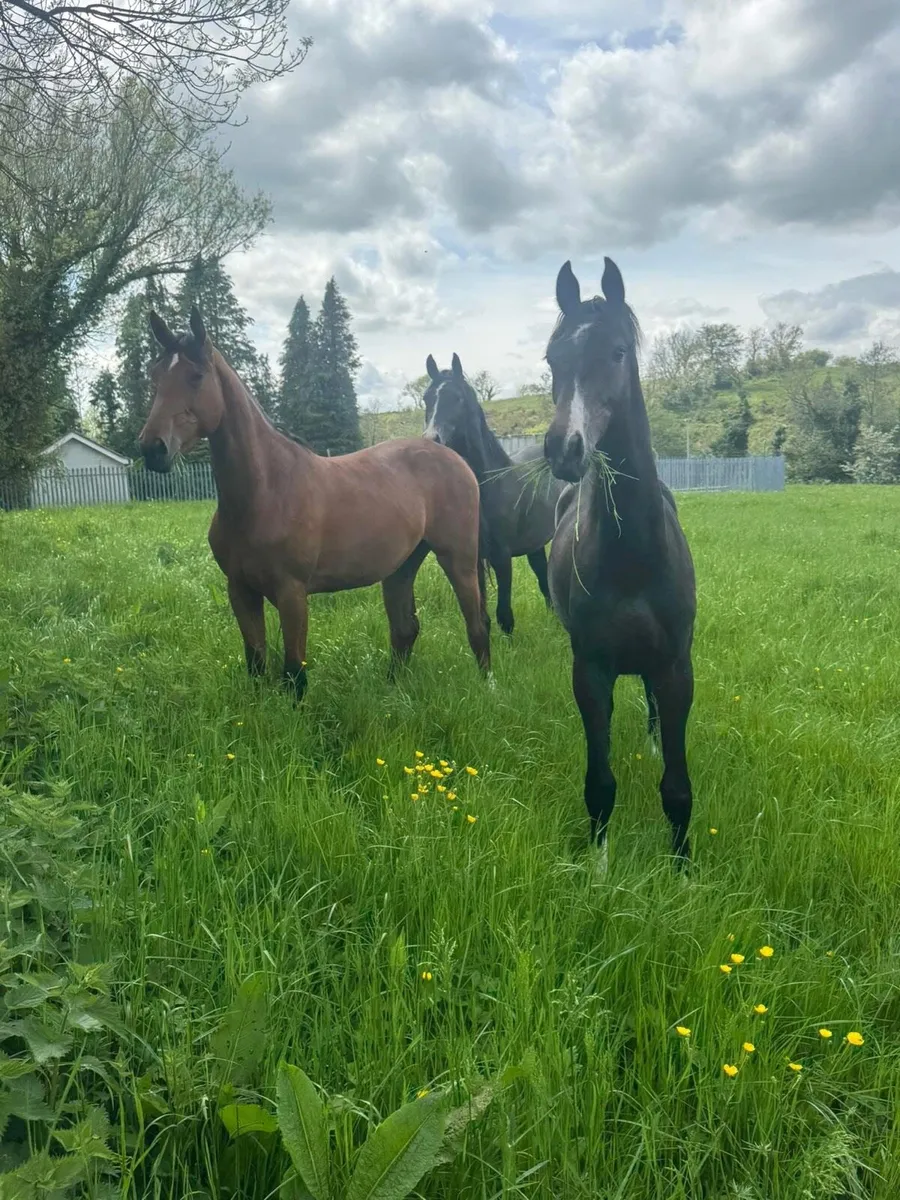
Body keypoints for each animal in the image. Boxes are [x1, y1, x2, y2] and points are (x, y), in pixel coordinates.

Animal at [138, 308, 491, 699]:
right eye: (155, 376)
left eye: (196, 376)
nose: (152, 448)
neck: (265, 492)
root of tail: (452, 457)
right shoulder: (240, 591)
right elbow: (256, 664)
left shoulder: (292, 594)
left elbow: (294, 674)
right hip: (401, 567)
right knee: (405, 629)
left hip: (458, 559)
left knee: (477, 625)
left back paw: (487, 688)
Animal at [422, 353, 564, 635]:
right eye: (426, 398)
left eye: (457, 397)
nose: (431, 440)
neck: (487, 489)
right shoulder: (473, 558)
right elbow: (482, 615)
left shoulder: (502, 556)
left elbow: (504, 615)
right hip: (535, 544)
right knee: (543, 579)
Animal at [543, 258, 697, 866]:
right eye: (551, 358)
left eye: (617, 351)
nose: (564, 449)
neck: (632, 559)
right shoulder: (591, 670)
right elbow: (600, 782)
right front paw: (601, 867)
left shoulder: (677, 668)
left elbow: (677, 788)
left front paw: (683, 871)